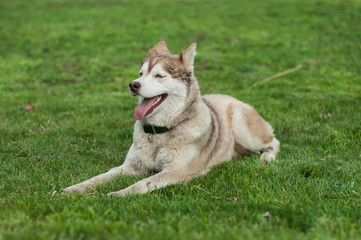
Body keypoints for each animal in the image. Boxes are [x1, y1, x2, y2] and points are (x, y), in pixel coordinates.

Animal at [64, 41, 278, 197]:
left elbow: (142, 184)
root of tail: (233, 98)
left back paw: (266, 158)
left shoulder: (175, 172)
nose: (133, 84)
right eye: (140, 74)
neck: (158, 133)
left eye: (159, 76)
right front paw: (74, 189)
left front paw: (118, 194)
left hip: (241, 124)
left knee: (274, 141)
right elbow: (100, 177)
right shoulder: (131, 166)